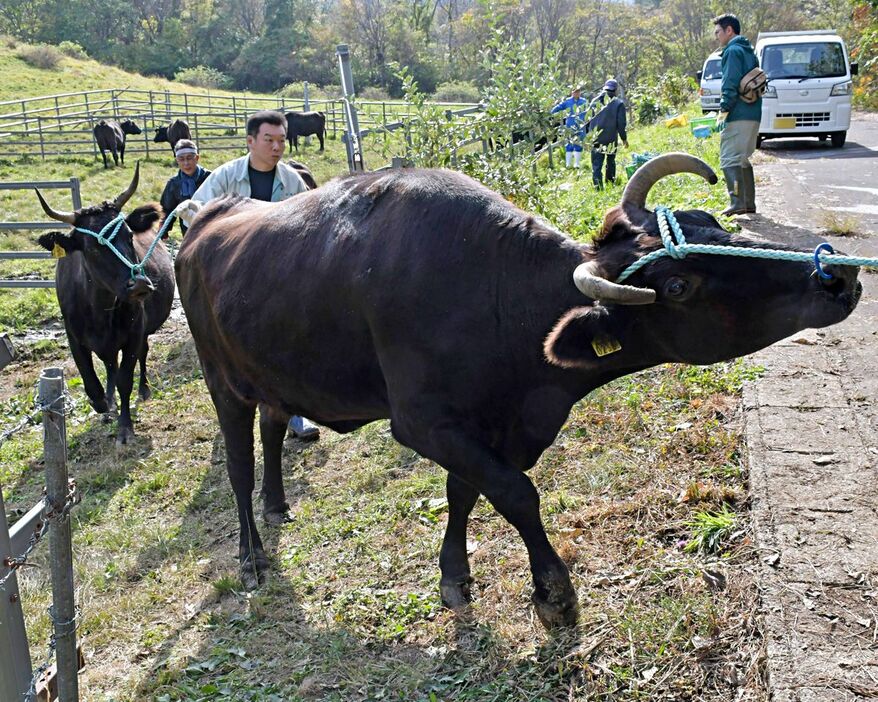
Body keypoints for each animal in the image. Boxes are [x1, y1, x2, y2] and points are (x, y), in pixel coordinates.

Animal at [34, 166, 175, 446]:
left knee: (139, 357)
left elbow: (125, 379)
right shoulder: (74, 337)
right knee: (110, 365)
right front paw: (103, 404)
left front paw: (125, 427)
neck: (99, 309)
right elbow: (92, 384)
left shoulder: (134, 334)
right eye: (92, 248)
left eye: (129, 236)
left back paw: (144, 390)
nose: (139, 284)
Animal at [175, 153, 864, 628]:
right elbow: (515, 493)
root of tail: (208, 218)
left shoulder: (485, 428)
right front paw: (554, 592)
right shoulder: (424, 423)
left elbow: (464, 493)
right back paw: (252, 553)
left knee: (272, 427)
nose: (835, 275)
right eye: (676, 286)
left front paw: (455, 575)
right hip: (221, 380)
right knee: (236, 462)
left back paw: (277, 505)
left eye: (709, 221)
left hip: (270, 375)